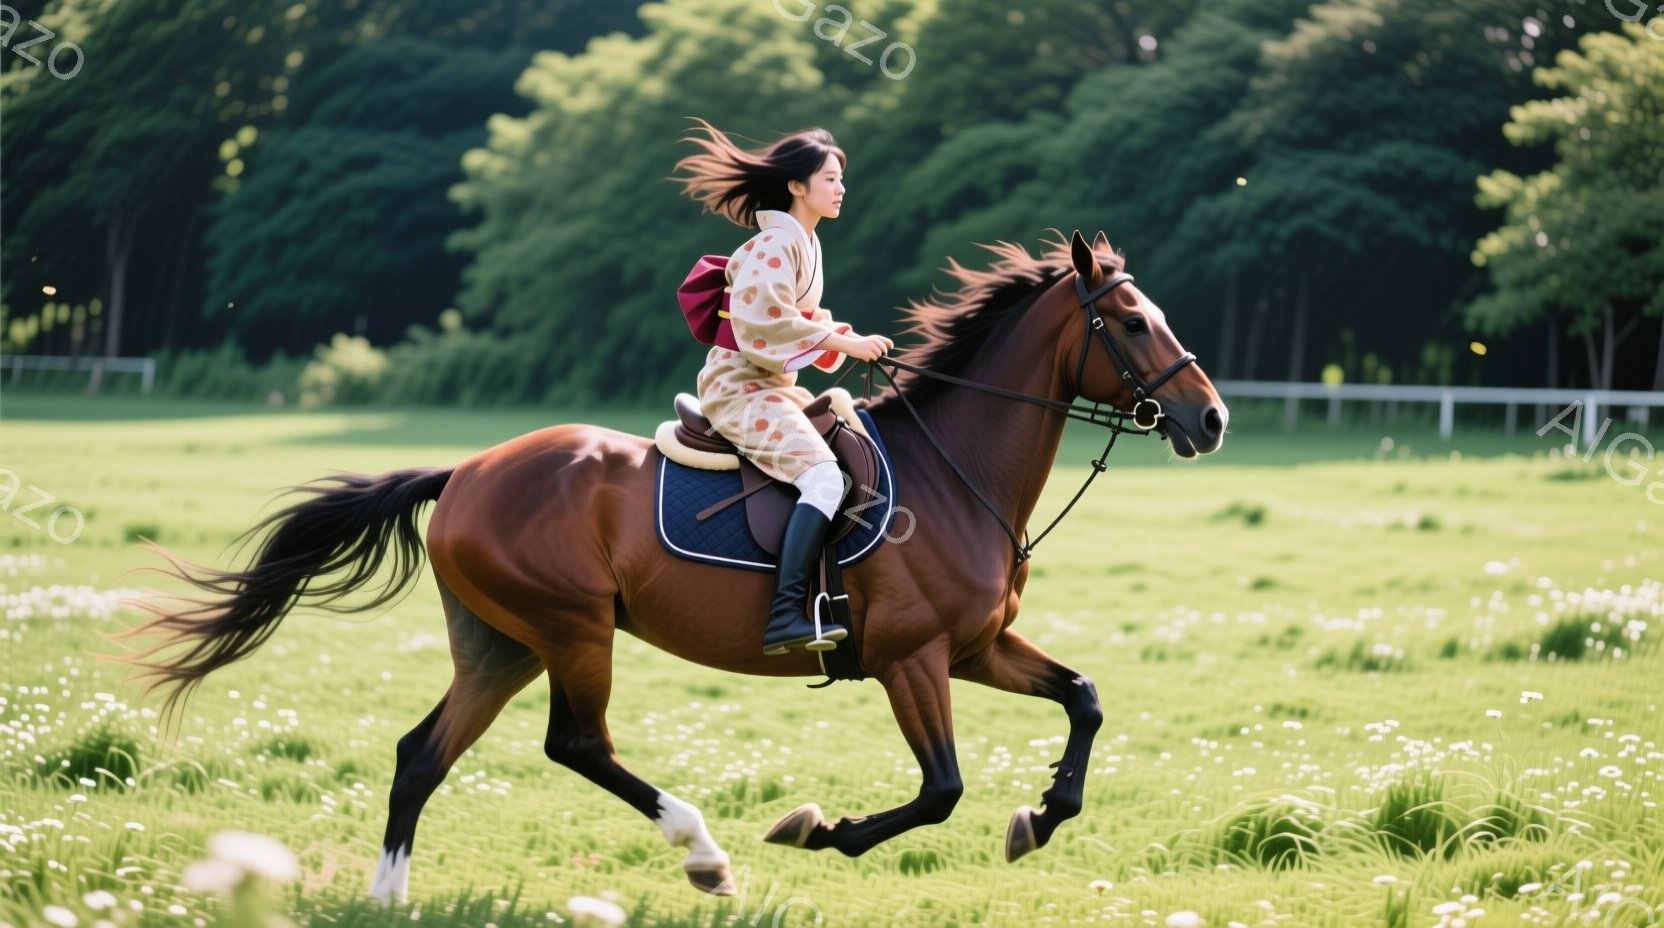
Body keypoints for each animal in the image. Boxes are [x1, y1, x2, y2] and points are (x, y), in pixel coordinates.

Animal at [116, 230, 1227, 903]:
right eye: (1133, 321)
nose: (1211, 417)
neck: (955, 472)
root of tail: (465, 470)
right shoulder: (912, 659)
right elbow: (940, 788)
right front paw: (817, 829)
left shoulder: (975, 646)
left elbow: (1082, 699)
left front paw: (1041, 815)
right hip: (571, 629)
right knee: (577, 744)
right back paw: (705, 852)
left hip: (502, 642)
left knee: (420, 755)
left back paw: (390, 899)